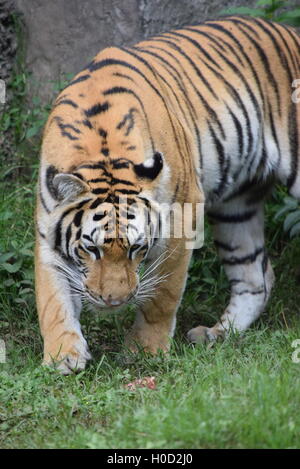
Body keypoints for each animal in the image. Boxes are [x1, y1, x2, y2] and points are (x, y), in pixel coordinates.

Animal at [36, 14, 300, 372]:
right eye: (91, 249)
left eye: (136, 248)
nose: (115, 301)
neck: (102, 150)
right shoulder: (47, 228)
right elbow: (52, 299)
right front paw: (63, 355)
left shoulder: (181, 218)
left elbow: (162, 295)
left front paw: (145, 350)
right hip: (236, 209)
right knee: (256, 278)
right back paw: (216, 334)